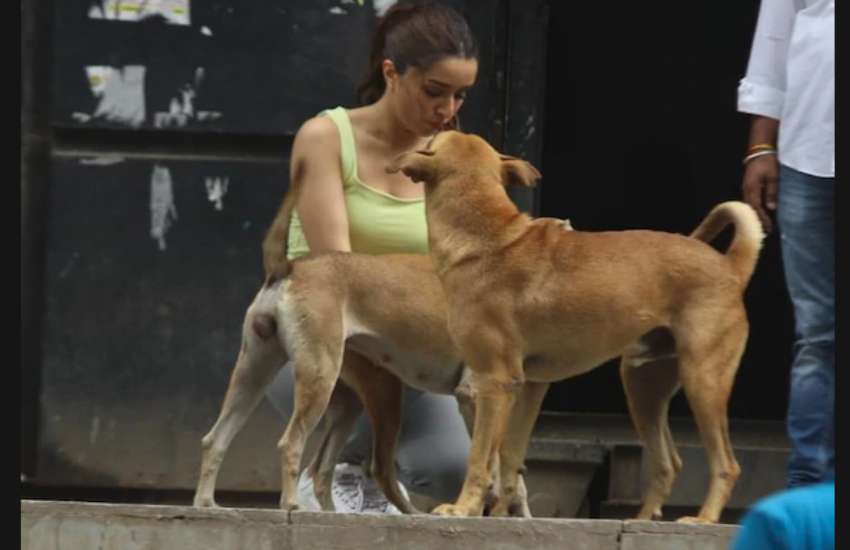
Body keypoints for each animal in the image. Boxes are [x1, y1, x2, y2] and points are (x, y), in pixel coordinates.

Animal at [190, 179, 556, 516]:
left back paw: (209, 503)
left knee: (221, 441)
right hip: (330, 381)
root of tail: (289, 267)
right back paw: (293, 505)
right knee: (296, 446)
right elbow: (491, 465)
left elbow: (508, 471)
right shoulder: (476, 395)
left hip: (262, 376)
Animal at [388, 132, 764, 524]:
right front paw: (504, 516)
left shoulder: (492, 382)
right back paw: (641, 520)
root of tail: (730, 267)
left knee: (726, 464)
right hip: (643, 385)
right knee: (668, 463)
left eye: (432, 140)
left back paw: (703, 519)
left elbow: (480, 458)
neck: (487, 235)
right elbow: (510, 458)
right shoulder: (528, 386)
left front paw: (464, 509)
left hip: (702, 380)